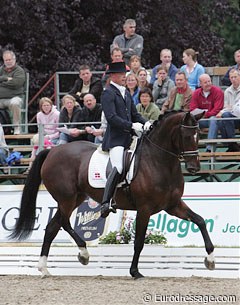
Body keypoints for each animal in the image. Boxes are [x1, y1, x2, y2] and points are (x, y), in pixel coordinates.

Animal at [9, 111, 216, 278]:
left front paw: (211, 260)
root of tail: (52, 152)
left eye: (199, 135)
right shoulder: (145, 208)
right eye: (186, 136)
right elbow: (139, 242)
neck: (159, 162)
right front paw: (135, 272)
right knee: (64, 223)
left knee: (53, 227)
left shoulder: (172, 205)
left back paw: (45, 268)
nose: (194, 167)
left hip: (76, 197)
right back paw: (83, 254)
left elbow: (200, 221)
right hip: (66, 198)